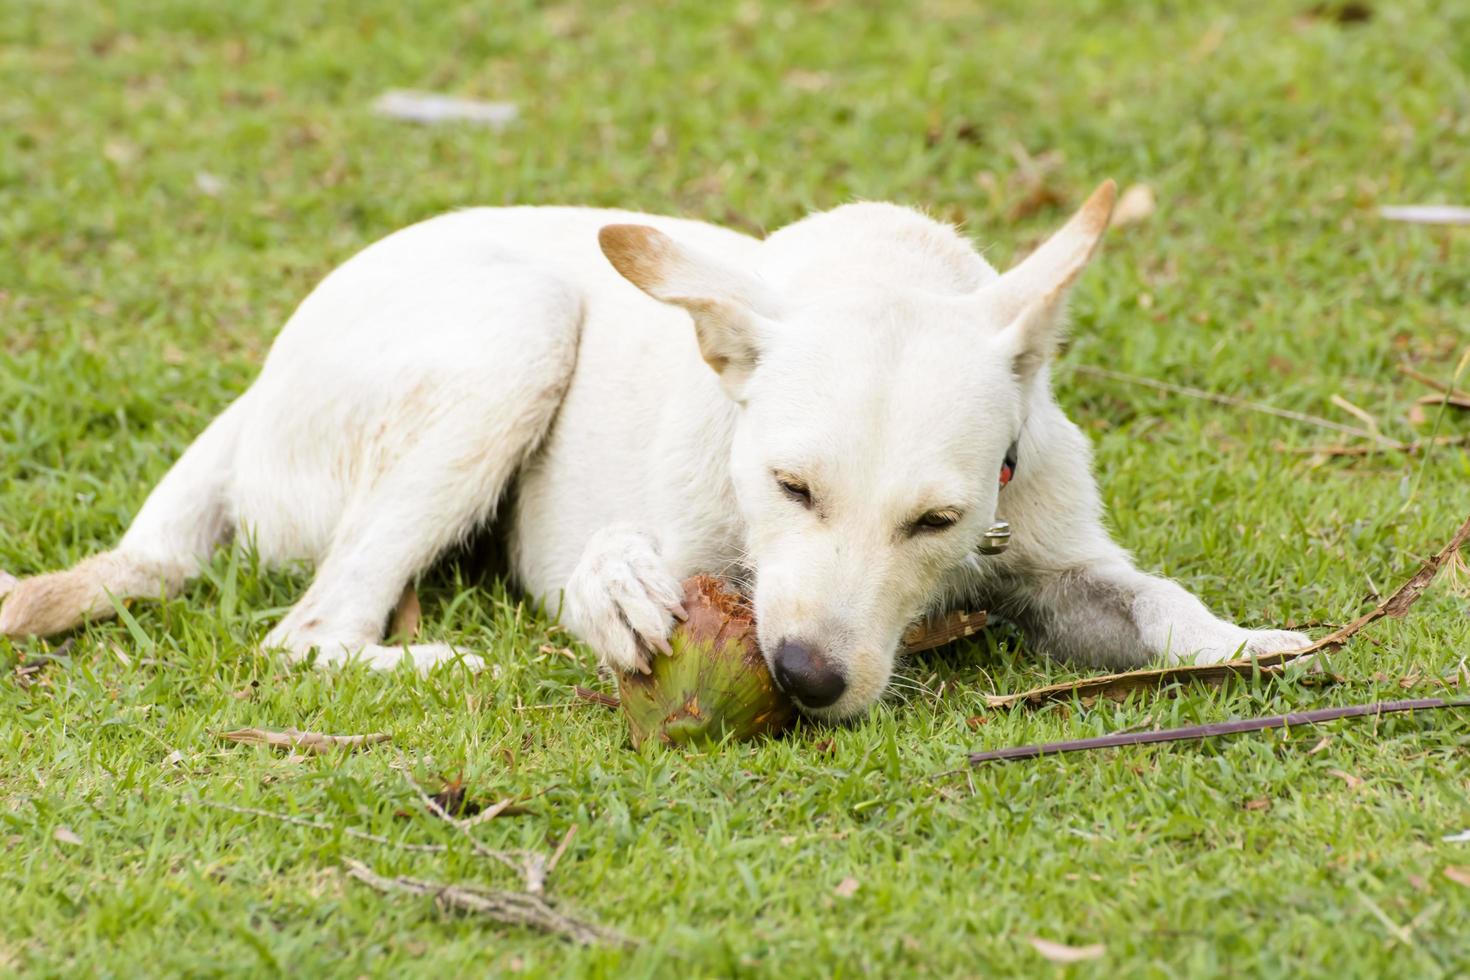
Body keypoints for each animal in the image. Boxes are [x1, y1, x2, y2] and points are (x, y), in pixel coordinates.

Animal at [2, 179, 1311, 717]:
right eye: (788, 484)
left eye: (938, 521)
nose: (807, 678)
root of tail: (256, 389)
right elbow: (617, 569)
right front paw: (615, 590)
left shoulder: (1054, 550)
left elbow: (1153, 600)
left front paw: (1243, 642)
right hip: (515, 329)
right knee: (307, 634)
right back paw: (439, 662)